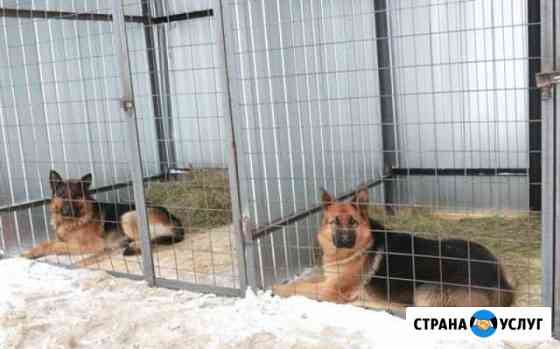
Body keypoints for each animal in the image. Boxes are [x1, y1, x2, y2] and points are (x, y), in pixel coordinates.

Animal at [21, 170, 184, 262]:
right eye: (61, 194)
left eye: (76, 196)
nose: (67, 210)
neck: (73, 221)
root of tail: (175, 219)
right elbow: (45, 243)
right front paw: (30, 252)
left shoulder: (90, 245)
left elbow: (54, 246)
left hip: (127, 216)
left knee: (149, 241)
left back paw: (130, 247)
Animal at [274, 188, 516, 308]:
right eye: (335, 222)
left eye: (352, 222)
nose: (344, 240)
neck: (363, 245)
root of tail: (499, 281)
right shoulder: (328, 281)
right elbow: (307, 280)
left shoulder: (331, 290)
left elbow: (301, 287)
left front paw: (277, 289)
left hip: (423, 292)